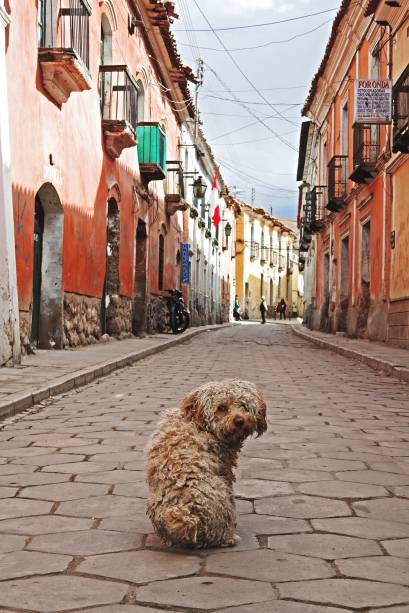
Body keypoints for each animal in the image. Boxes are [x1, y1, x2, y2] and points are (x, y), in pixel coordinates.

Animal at [145, 380, 266, 548]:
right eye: (221, 408)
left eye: (243, 404)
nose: (239, 421)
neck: (198, 423)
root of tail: (188, 516)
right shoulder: (224, 468)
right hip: (222, 495)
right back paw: (230, 536)